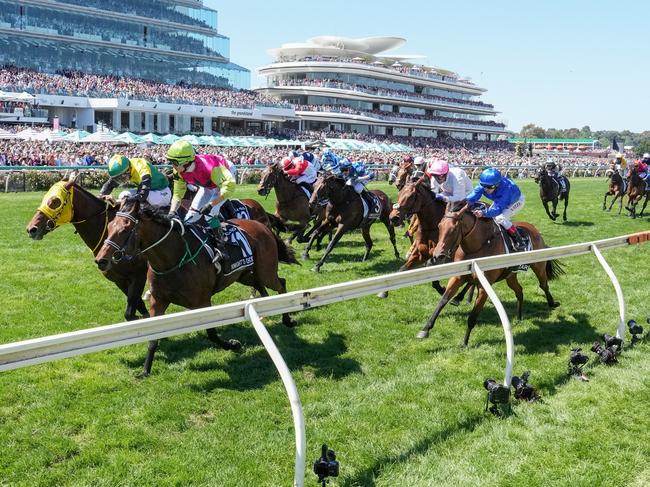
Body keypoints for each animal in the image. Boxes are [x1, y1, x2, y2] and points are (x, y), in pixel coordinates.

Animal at [26, 173, 149, 322]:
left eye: (55, 201)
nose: (31, 229)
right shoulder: (118, 278)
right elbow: (137, 310)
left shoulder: (139, 274)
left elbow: (133, 313)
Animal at [94, 198, 298, 378]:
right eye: (109, 227)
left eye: (125, 229)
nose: (101, 260)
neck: (173, 259)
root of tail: (262, 225)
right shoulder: (158, 300)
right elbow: (153, 337)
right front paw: (145, 370)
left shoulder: (202, 302)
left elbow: (212, 333)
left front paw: (233, 345)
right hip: (245, 275)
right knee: (266, 285)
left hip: (265, 271)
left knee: (281, 284)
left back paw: (287, 319)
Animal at [418, 202, 560, 346]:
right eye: (439, 226)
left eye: (453, 229)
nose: (437, 256)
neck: (477, 246)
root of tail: (534, 229)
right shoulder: (458, 277)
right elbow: (443, 300)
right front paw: (425, 329)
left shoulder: (483, 286)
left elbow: (473, 316)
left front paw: (465, 342)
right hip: (510, 276)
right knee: (519, 291)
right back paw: (519, 317)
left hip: (539, 266)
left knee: (543, 285)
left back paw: (552, 303)